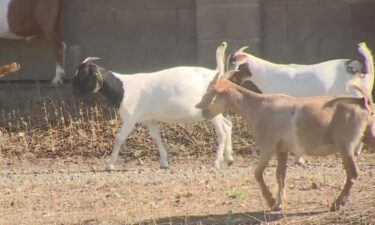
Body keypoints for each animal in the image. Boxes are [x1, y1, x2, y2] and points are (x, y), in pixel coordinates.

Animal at [72, 43, 234, 170]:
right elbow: (156, 137)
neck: (123, 89)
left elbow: (119, 138)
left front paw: (109, 164)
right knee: (228, 125)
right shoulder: (149, 119)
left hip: (212, 110)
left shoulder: (130, 119)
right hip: (217, 110)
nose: (74, 92)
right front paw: (164, 162)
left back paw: (216, 162)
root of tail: (216, 73)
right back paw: (229, 158)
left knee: (222, 132)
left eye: (83, 74)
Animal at [198, 67, 374, 211]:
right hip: (368, 134)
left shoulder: (267, 147)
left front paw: (271, 201)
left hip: (345, 144)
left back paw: (337, 204)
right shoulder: (282, 150)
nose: (200, 109)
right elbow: (280, 175)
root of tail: (362, 101)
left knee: (353, 174)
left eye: (212, 90)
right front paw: (279, 204)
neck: (257, 107)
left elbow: (257, 173)